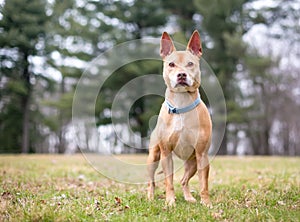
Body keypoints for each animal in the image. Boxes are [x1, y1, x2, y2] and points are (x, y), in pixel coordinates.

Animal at [146, 29, 212, 206]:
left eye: (190, 63)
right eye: (171, 64)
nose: (181, 75)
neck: (182, 104)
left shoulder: (202, 154)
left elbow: (204, 183)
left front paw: (206, 202)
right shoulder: (166, 153)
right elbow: (168, 181)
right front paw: (170, 202)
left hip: (192, 162)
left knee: (184, 180)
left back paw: (189, 198)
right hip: (153, 157)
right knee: (151, 181)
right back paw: (150, 197)